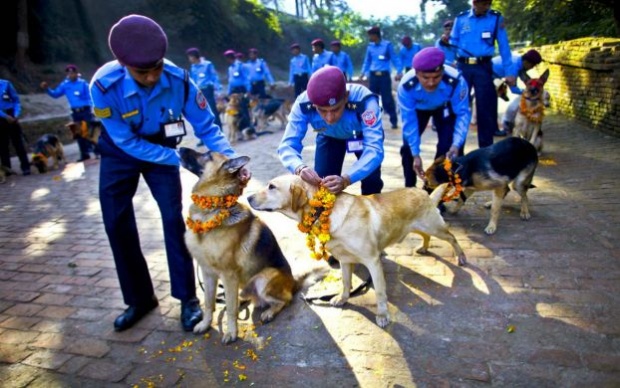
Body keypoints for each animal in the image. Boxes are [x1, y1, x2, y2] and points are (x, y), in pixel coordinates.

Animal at [178, 148, 314, 342]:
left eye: (208, 155)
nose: (180, 148)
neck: (212, 209)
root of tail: (293, 282)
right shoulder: (208, 273)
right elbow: (209, 302)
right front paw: (205, 324)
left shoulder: (228, 274)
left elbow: (231, 310)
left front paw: (231, 332)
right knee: (240, 296)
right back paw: (241, 298)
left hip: (264, 278)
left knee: (285, 299)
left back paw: (269, 311)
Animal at [247, 174, 464, 328]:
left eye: (271, 186)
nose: (247, 196)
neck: (324, 212)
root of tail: (423, 192)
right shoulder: (345, 260)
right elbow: (346, 283)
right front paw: (342, 299)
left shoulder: (373, 261)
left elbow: (380, 292)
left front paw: (382, 315)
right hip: (415, 228)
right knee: (426, 236)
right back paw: (425, 248)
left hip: (434, 227)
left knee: (452, 237)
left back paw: (461, 258)